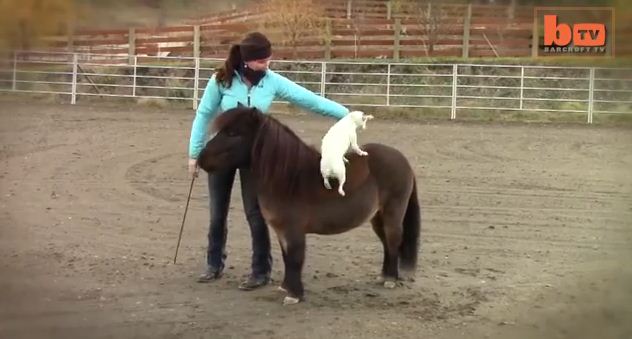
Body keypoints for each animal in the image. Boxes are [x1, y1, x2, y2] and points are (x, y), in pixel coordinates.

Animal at [198, 106, 422, 306]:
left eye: (233, 133)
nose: (201, 159)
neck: (290, 179)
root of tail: (403, 160)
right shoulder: (281, 231)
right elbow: (287, 258)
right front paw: (285, 287)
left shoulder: (294, 231)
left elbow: (295, 259)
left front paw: (294, 295)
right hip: (377, 216)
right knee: (386, 243)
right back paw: (384, 276)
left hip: (393, 213)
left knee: (393, 241)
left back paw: (390, 280)